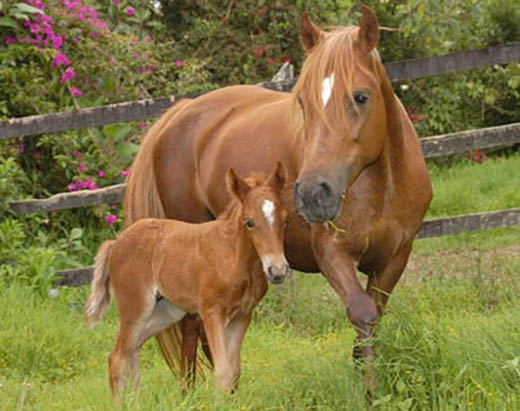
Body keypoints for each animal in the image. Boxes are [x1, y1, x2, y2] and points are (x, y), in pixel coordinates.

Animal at [84, 163, 288, 396]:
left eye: (285, 220)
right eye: (250, 222)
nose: (277, 270)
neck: (231, 255)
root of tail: (116, 242)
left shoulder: (242, 315)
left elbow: (234, 371)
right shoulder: (211, 312)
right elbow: (223, 371)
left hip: (165, 311)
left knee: (132, 348)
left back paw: (137, 399)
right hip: (136, 307)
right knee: (117, 357)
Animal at [124, 6, 432, 384]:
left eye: (361, 96)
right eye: (303, 102)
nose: (313, 194)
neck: (380, 184)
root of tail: (177, 114)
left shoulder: (395, 257)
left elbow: (373, 322)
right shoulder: (332, 254)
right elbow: (362, 314)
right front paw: (370, 390)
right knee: (191, 325)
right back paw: (190, 391)